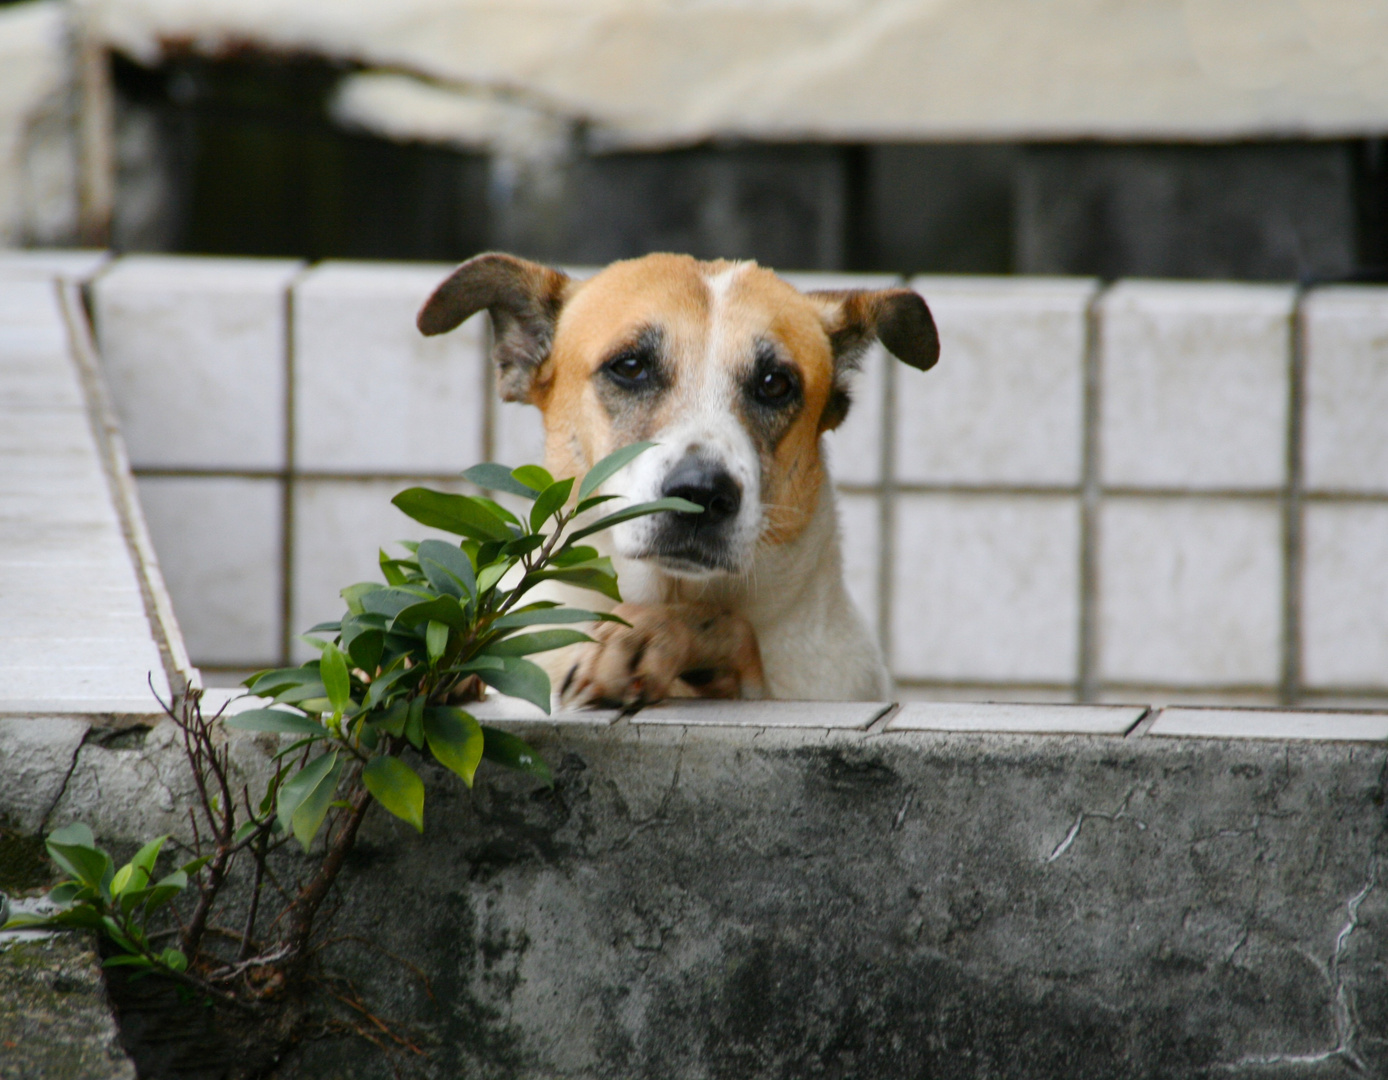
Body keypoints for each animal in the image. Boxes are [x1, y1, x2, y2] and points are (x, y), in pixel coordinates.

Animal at [410, 254, 932, 702]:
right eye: (630, 366)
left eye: (775, 384)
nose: (702, 494)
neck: (664, 588)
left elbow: (722, 625)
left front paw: (648, 636)